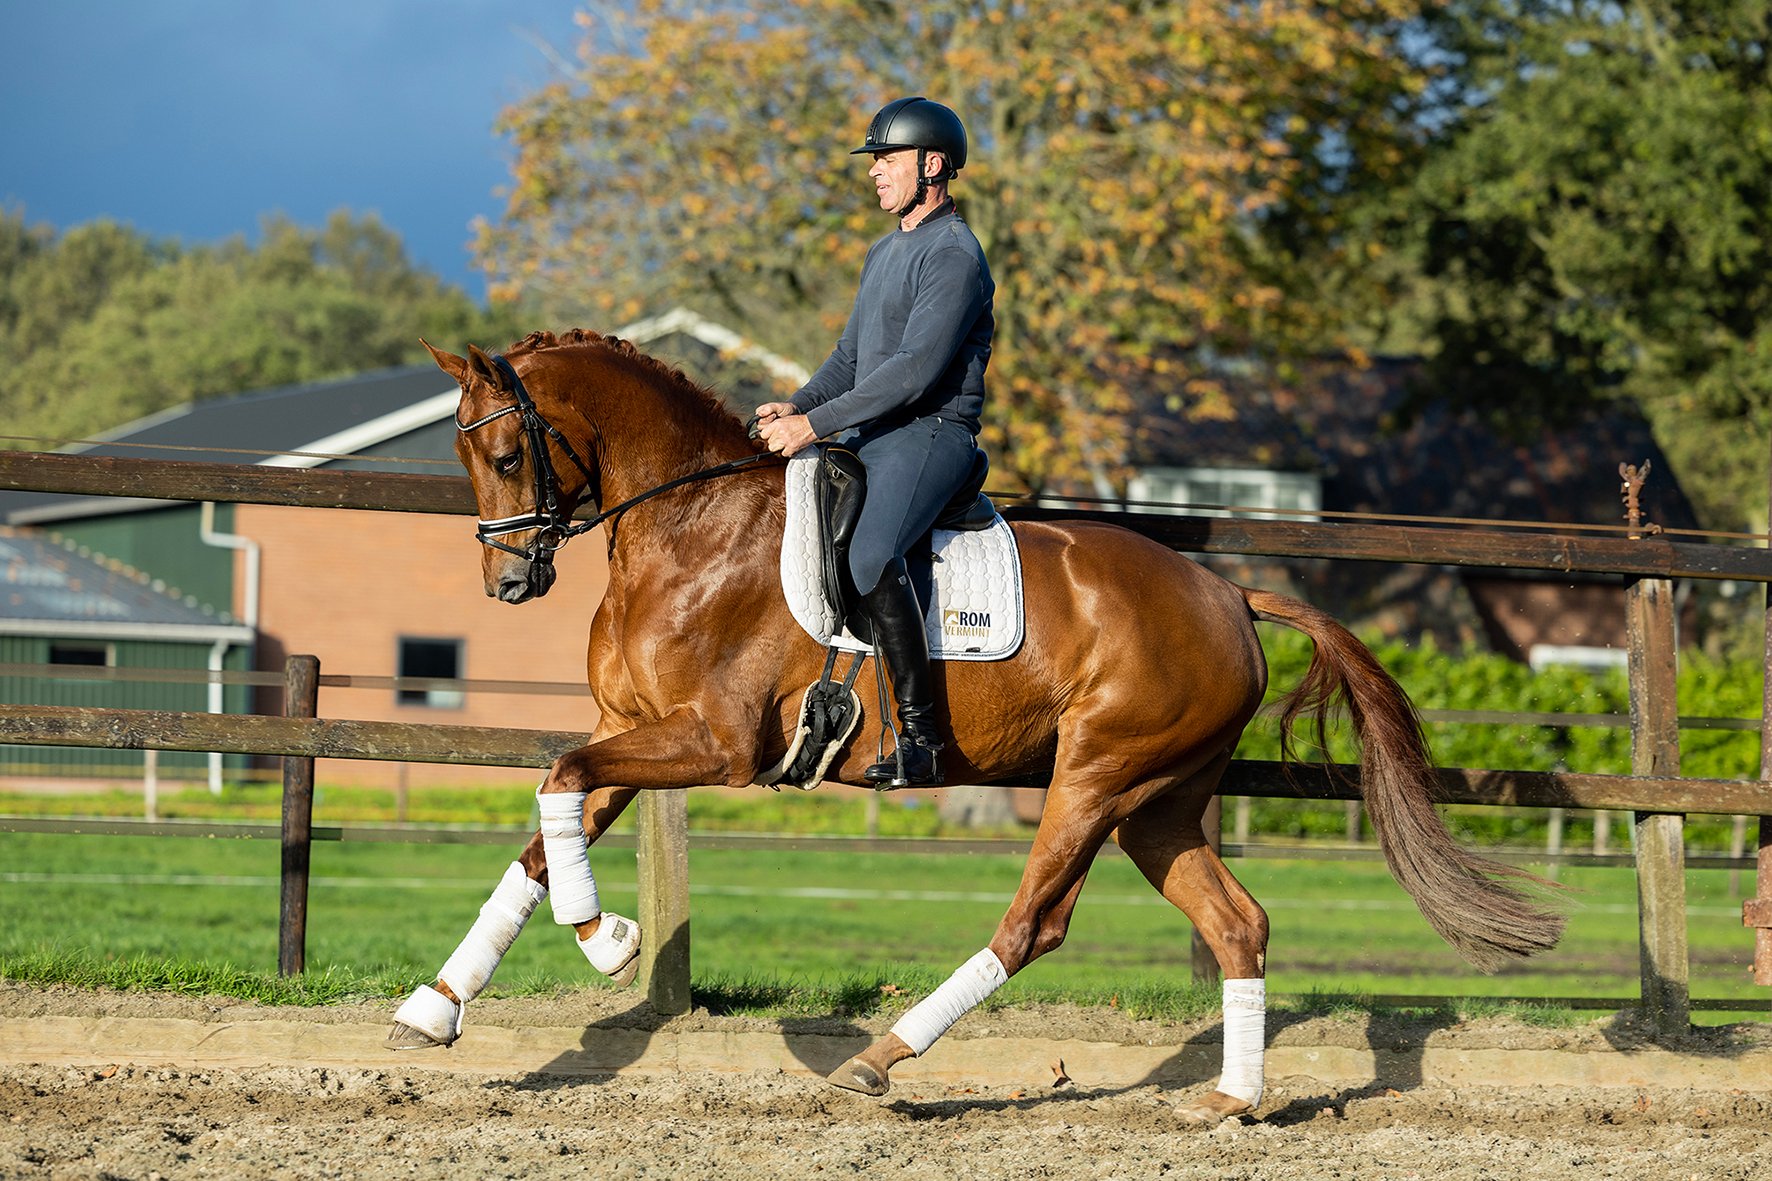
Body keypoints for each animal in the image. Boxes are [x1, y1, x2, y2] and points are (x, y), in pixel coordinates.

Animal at [386, 329, 1564, 1125]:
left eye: (504, 454)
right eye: (464, 455)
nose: (507, 581)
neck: (691, 528)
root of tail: (1227, 592)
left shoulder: (712, 742)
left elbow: (555, 776)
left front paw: (607, 938)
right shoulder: (636, 725)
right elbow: (546, 827)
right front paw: (438, 1005)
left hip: (1094, 777)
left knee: (1031, 924)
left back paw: (879, 1058)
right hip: (1159, 801)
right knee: (1237, 923)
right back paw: (1229, 1099)